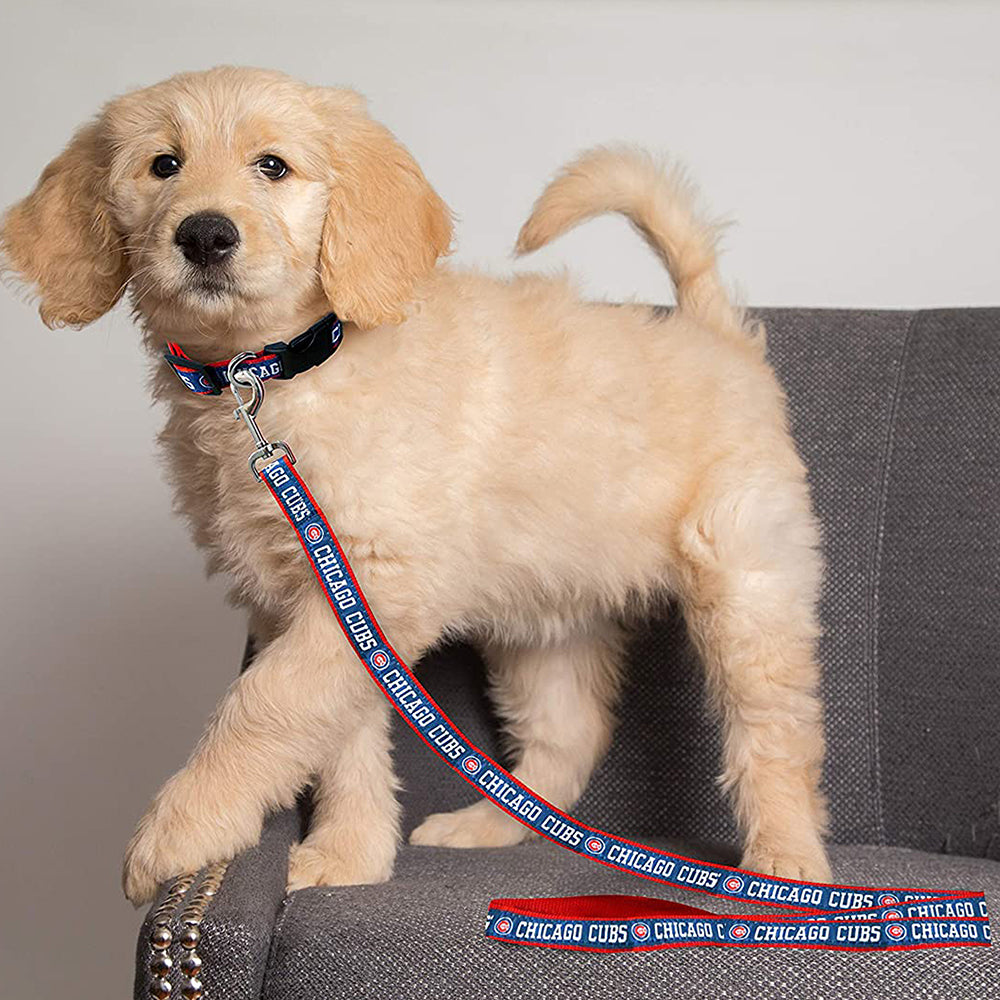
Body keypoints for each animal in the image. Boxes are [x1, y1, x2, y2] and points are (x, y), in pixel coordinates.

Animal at [1, 66, 828, 904]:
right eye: (163, 165)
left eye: (273, 167)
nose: (205, 234)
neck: (270, 374)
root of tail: (714, 330)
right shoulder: (307, 596)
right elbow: (333, 734)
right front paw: (348, 857)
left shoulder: (374, 583)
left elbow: (266, 702)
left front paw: (178, 832)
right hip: (546, 613)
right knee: (568, 735)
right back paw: (486, 826)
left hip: (746, 586)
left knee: (779, 734)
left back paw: (787, 863)